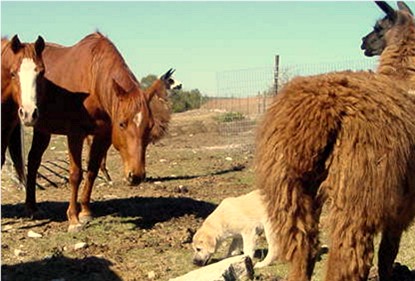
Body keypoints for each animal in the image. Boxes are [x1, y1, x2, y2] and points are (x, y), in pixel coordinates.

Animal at [26, 32, 172, 231]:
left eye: (149, 126)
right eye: (122, 124)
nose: (136, 176)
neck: (92, 77)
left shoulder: (102, 135)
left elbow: (92, 171)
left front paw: (86, 211)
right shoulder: (75, 134)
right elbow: (76, 174)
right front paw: (73, 218)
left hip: (43, 129)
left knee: (33, 161)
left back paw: (33, 208)